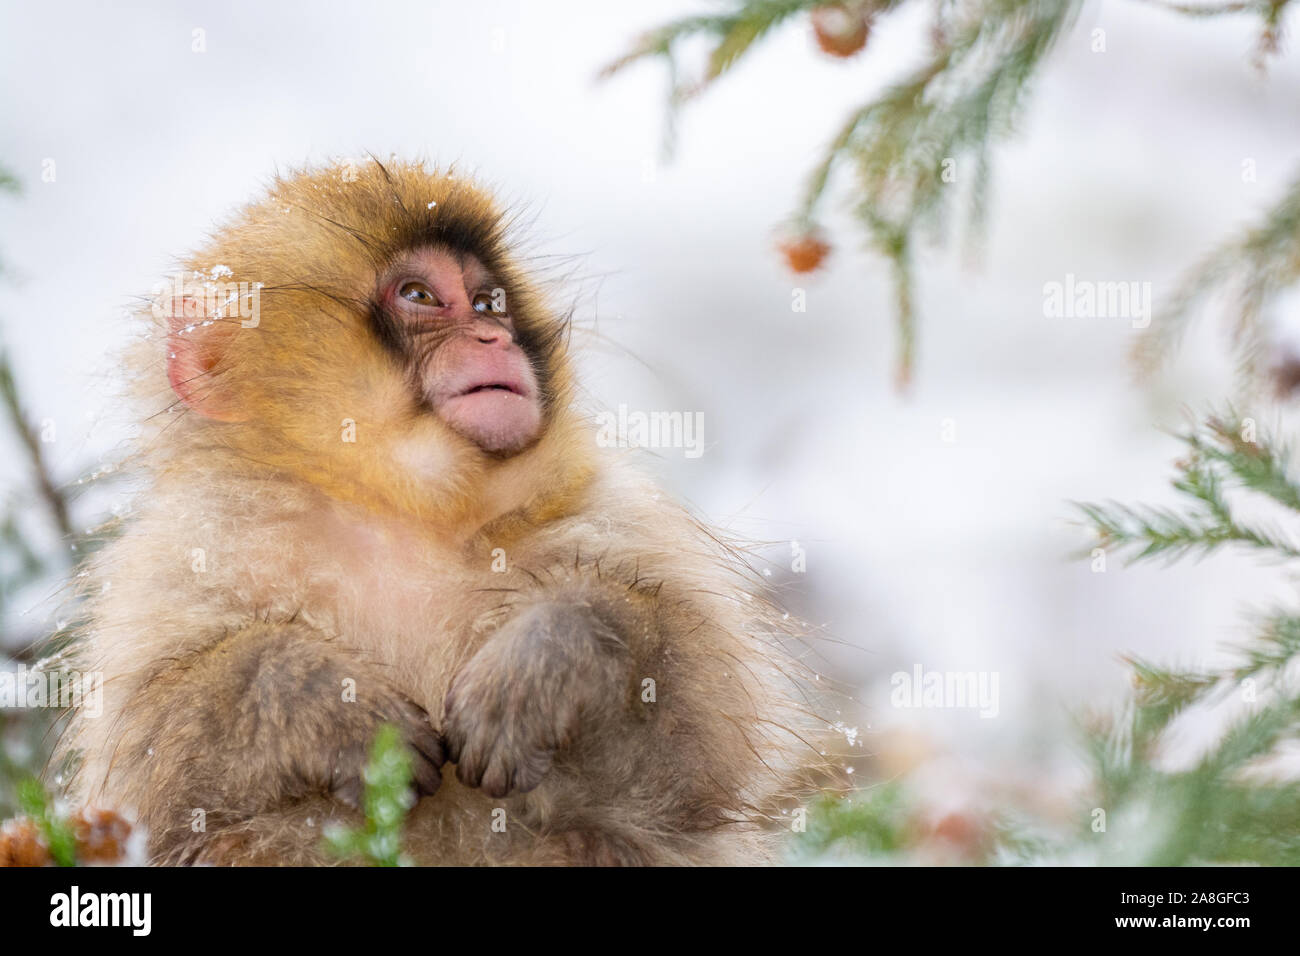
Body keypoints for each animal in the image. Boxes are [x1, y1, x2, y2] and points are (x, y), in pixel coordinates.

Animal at [55, 158, 826, 868]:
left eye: (486, 303)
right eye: (419, 295)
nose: (494, 340)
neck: (400, 513)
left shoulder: (606, 508)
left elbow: (699, 752)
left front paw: (554, 653)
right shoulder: (191, 544)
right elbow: (152, 778)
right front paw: (314, 696)